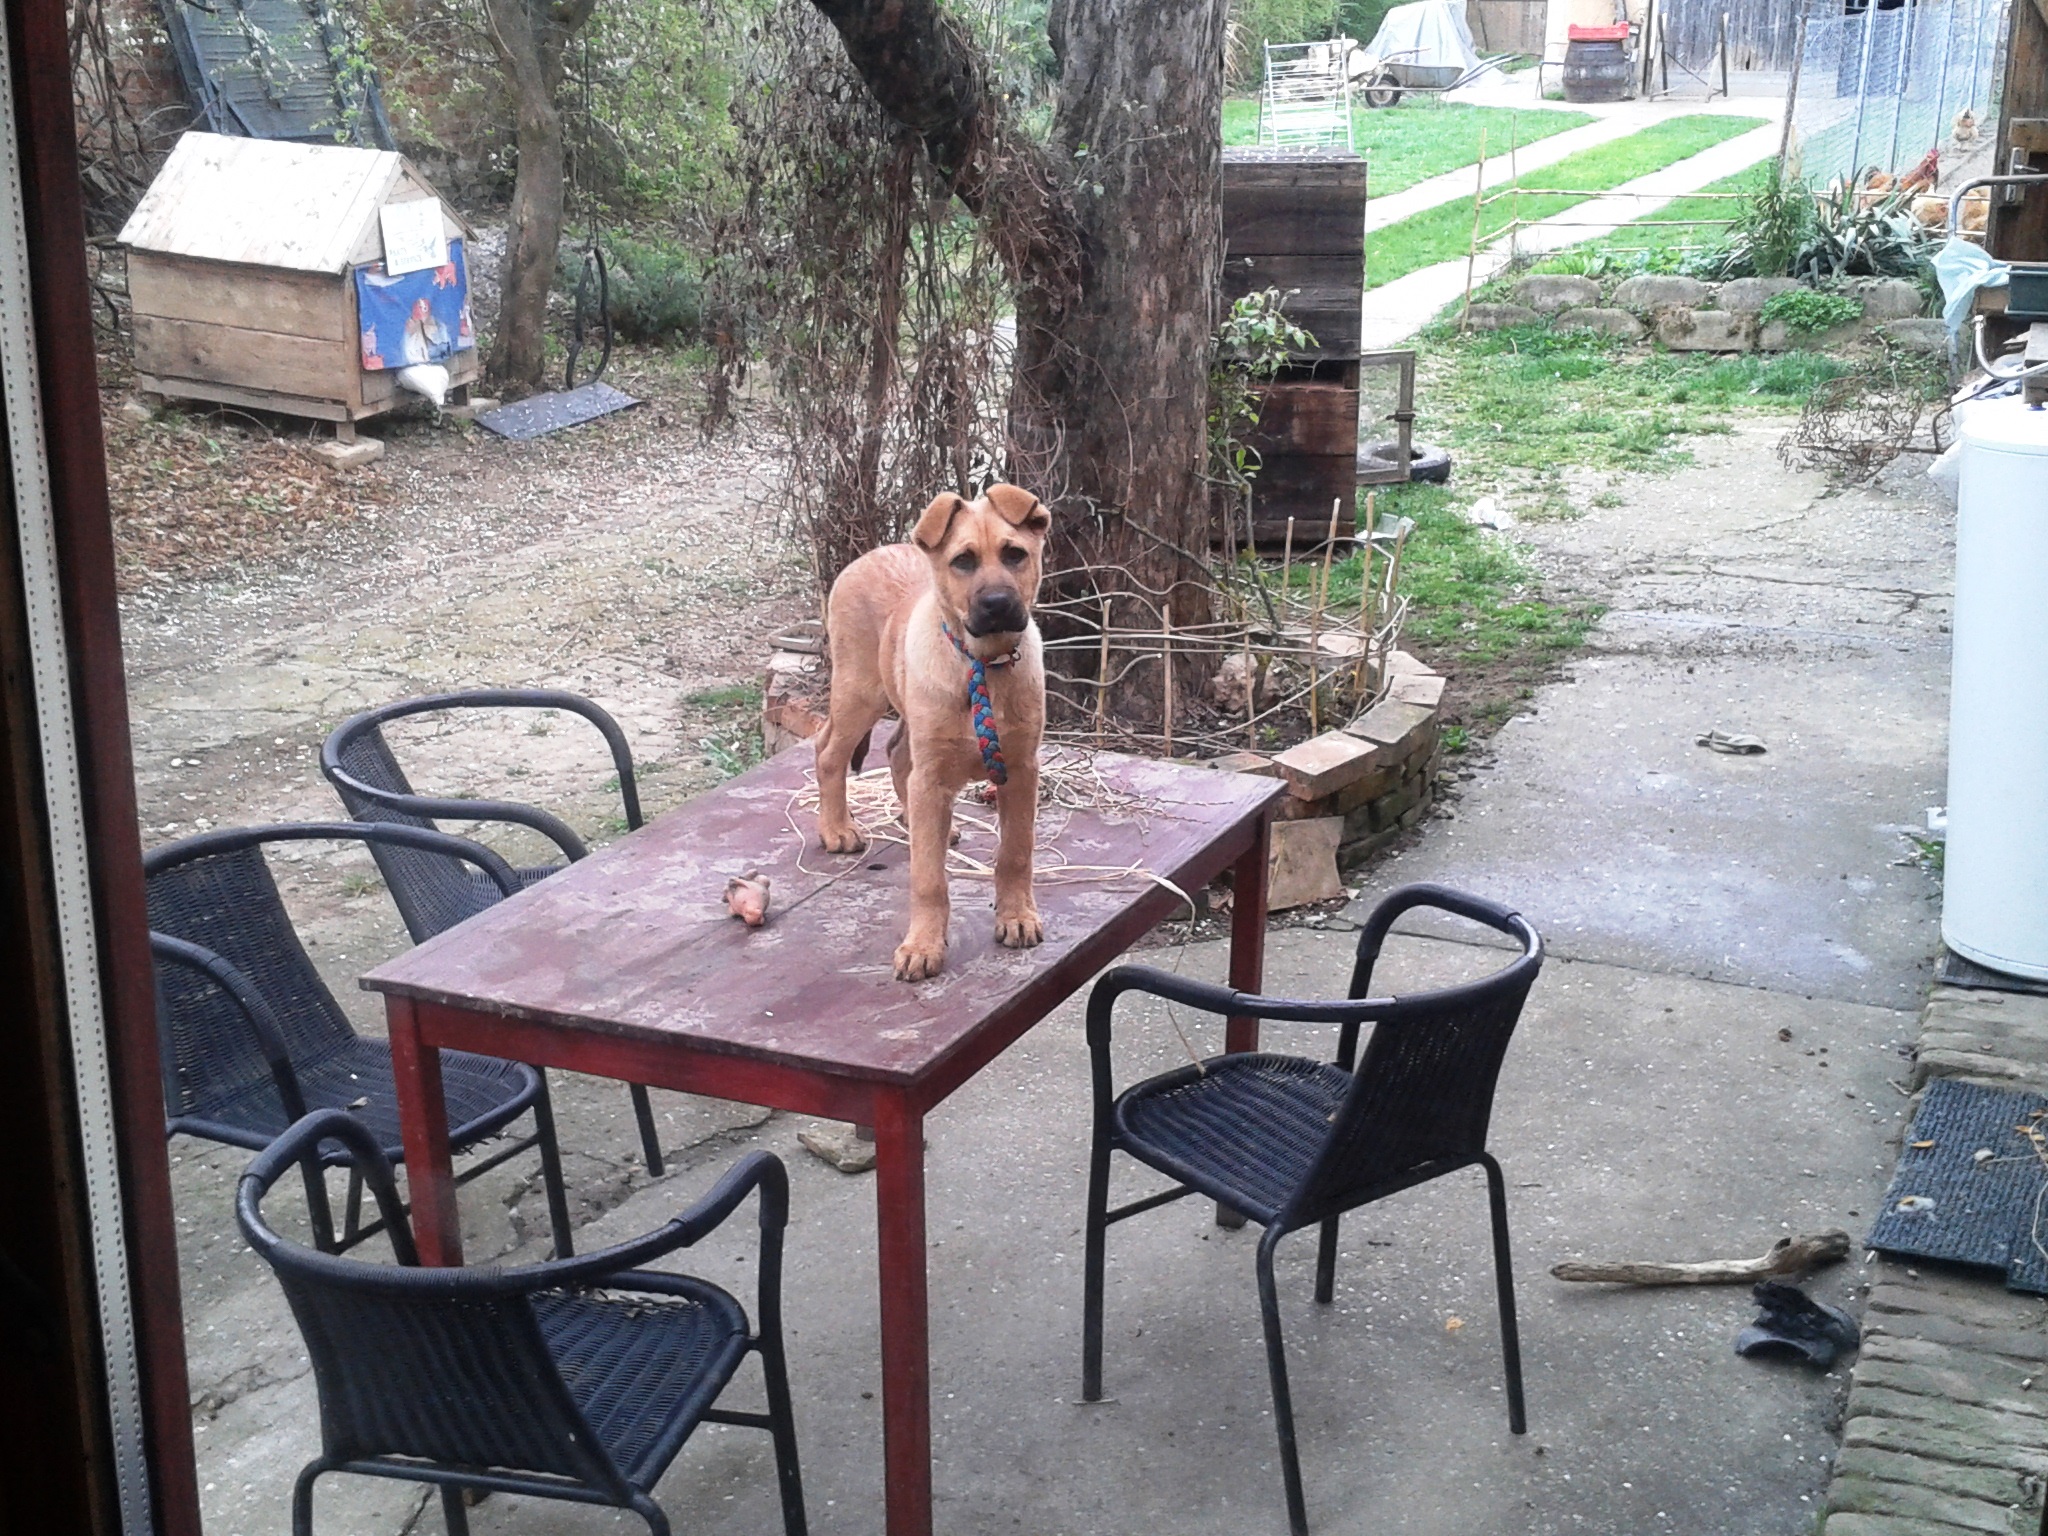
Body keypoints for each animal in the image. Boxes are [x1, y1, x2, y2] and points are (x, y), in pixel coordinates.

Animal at [813, 484, 1051, 981]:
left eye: (1015, 554)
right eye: (963, 561)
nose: (997, 604)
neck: (983, 663)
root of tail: (868, 555)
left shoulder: (1021, 770)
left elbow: (1016, 852)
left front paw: (1017, 916)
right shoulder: (934, 775)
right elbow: (927, 877)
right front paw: (923, 945)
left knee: (897, 754)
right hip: (860, 691)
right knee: (828, 751)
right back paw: (838, 829)